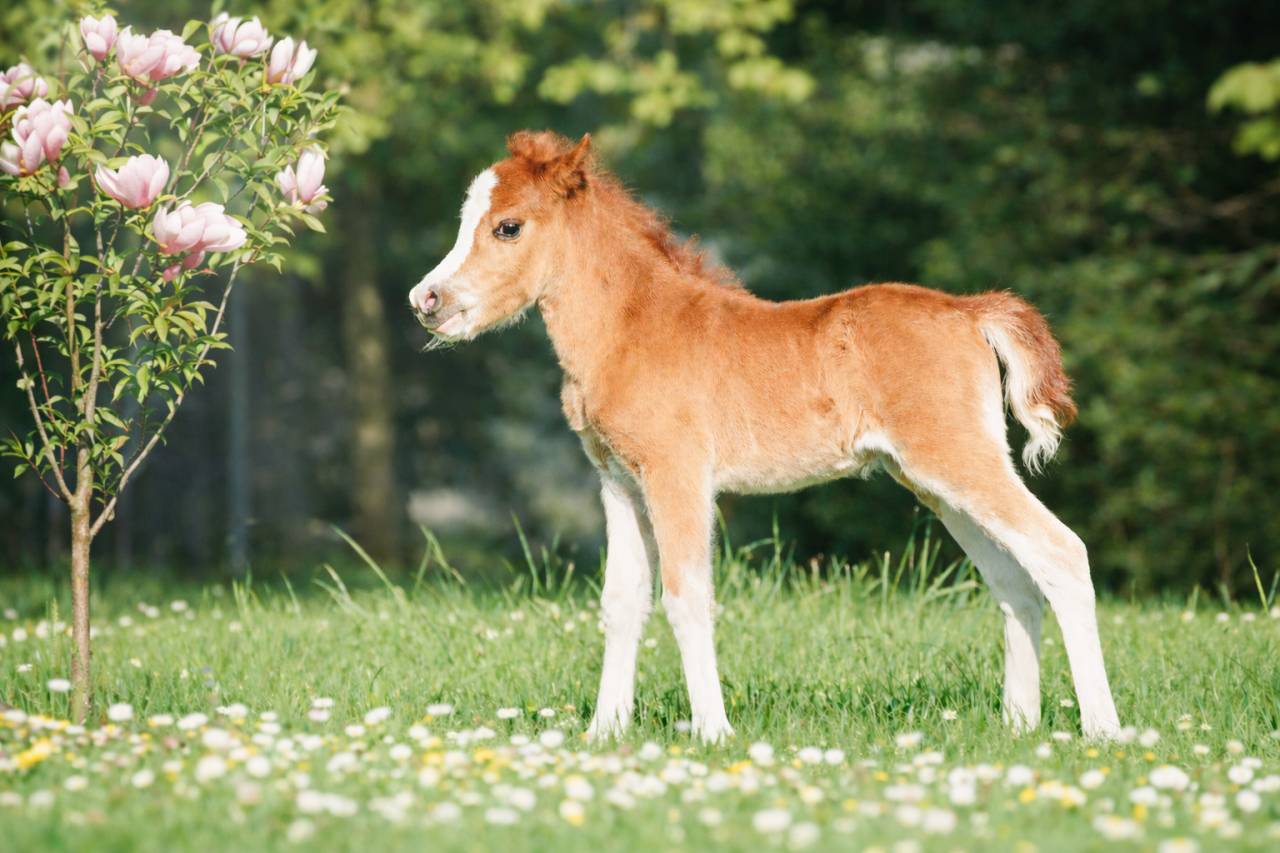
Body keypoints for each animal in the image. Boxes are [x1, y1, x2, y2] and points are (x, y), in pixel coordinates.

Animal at [408, 130, 1121, 743]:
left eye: (507, 226)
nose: (426, 300)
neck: (630, 328)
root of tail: (971, 311)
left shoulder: (677, 475)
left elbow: (686, 596)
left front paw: (713, 732)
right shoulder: (619, 482)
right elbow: (621, 602)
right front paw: (603, 733)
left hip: (957, 460)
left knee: (1061, 553)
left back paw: (1102, 730)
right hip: (936, 483)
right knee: (1014, 582)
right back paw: (1018, 725)